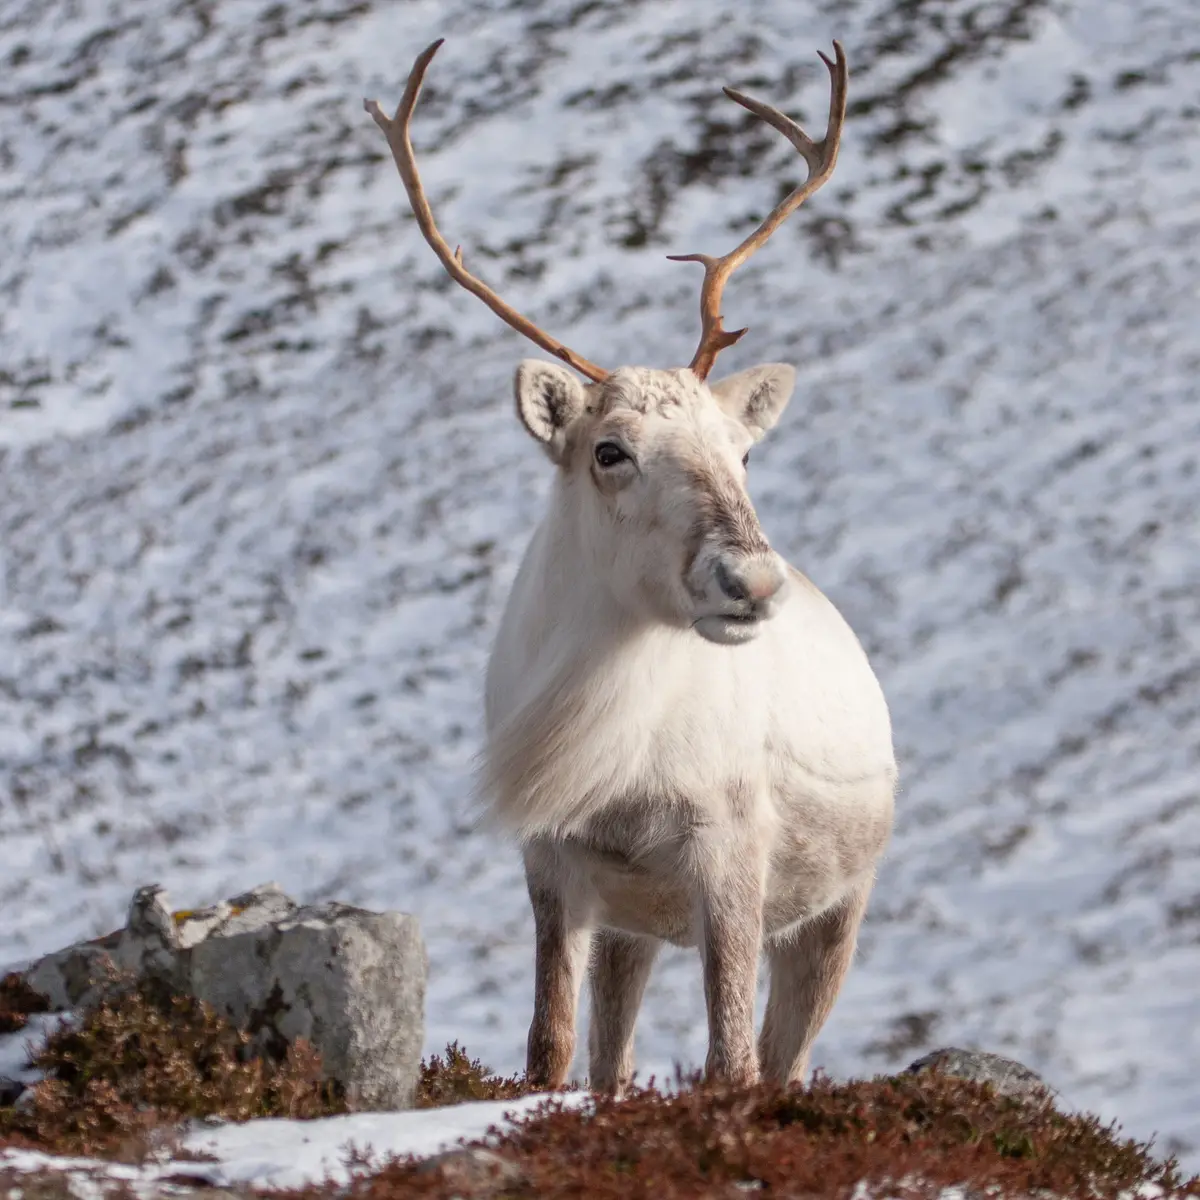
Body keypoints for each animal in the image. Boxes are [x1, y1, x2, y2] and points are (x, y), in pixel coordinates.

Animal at [365, 37, 896, 1096]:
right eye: (609, 450)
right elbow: (549, 1048)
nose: (752, 582)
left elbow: (731, 1059)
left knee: (787, 1059)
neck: (617, 755)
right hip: (634, 928)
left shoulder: (730, 848)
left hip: (837, 906)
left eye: (743, 453)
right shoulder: (558, 858)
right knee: (614, 1054)